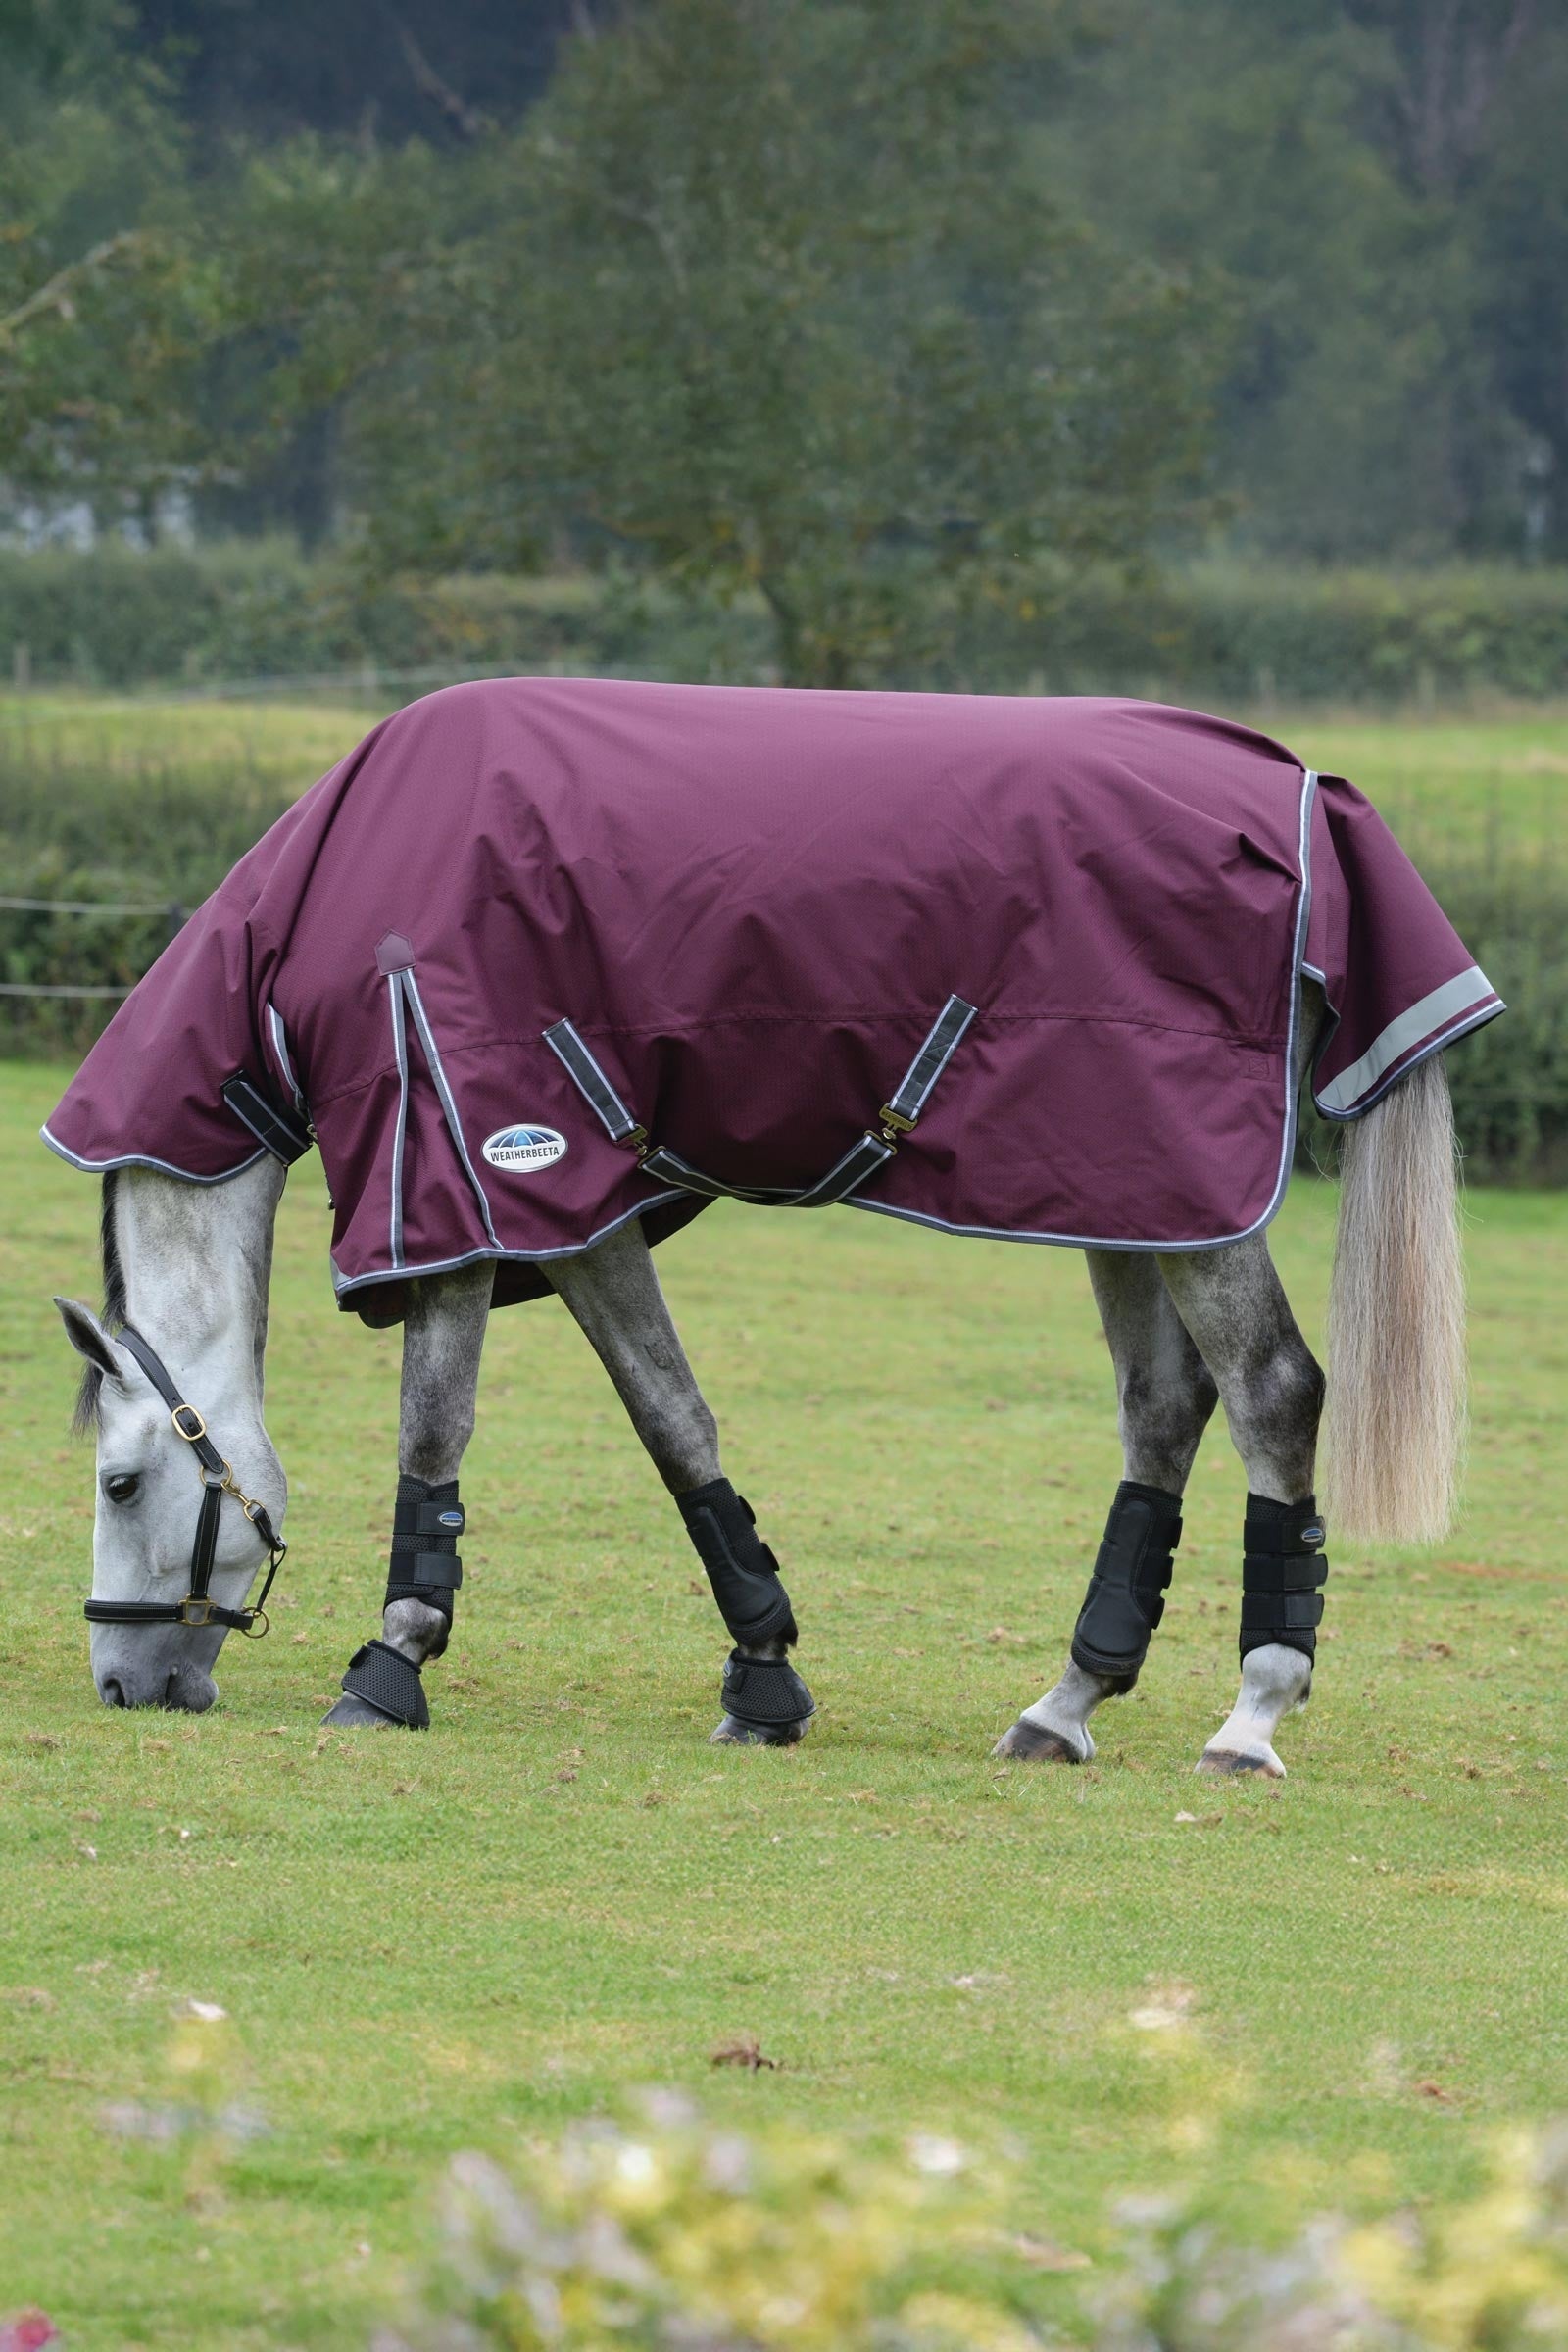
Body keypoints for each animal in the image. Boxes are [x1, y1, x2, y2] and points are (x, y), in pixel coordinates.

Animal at [46, 680, 1492, 1772]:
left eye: (119, 1482)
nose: (119, 1682)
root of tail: (1302, 795)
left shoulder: (471, 1182)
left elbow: (435, 1430)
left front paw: (389, 1662)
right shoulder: (573, 1211)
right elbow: (674, 1421)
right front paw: (764, 1678)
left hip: (1188, 1201)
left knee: (1270, 1392)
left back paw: (1252, 1714)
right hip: (1126, 1189)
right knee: (1162, 1405)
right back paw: (1066, 1702)